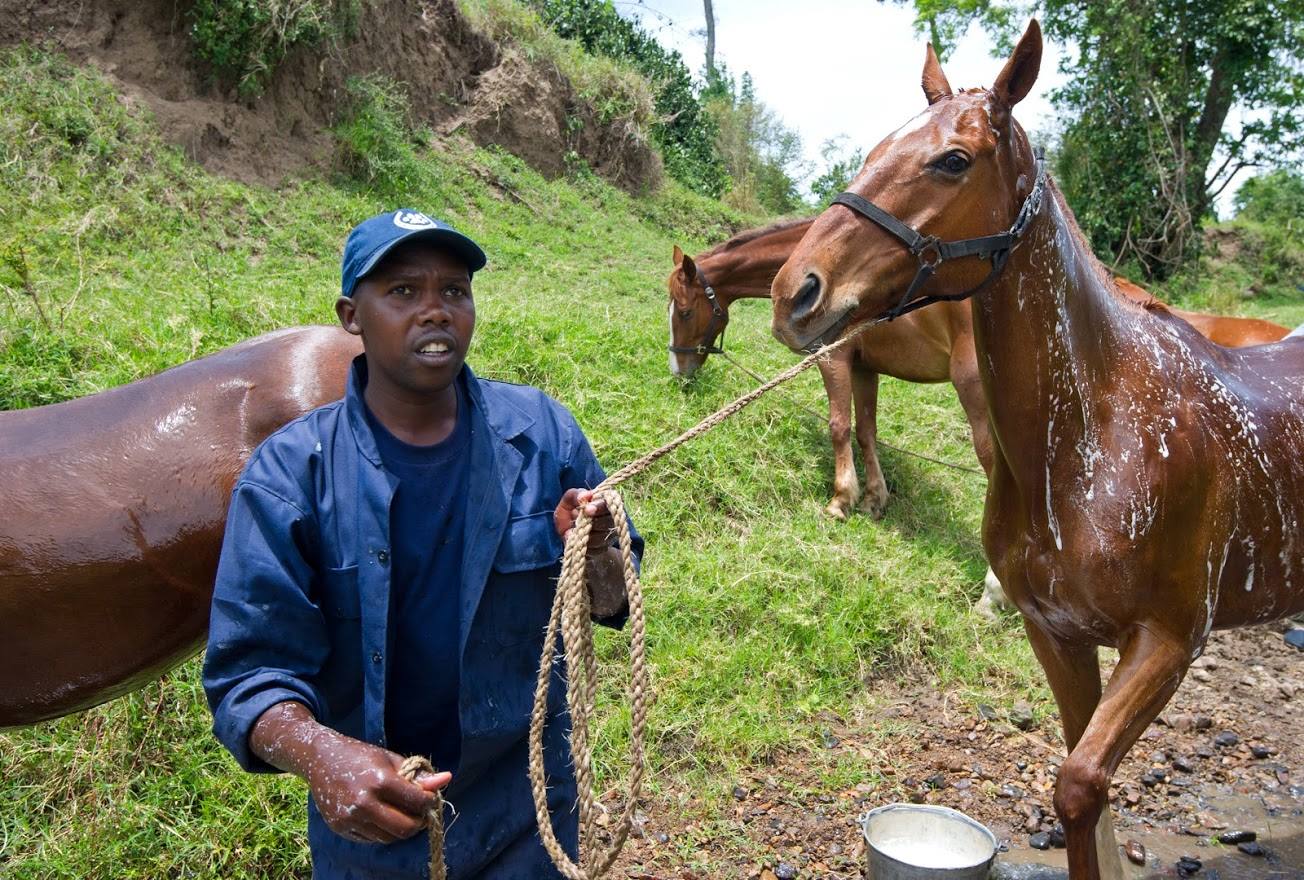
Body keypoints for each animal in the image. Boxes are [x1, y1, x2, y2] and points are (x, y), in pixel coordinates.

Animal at [669, 227, 1287, 616]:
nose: (679, 368)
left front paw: (842, 500)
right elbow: (867, 430)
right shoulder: (867, 367)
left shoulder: (836, 360)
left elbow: (840, 427)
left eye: (683, 307)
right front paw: (875, 498)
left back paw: (999, 592)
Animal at [769, 21, 1304, 879]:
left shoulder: (1169, 642)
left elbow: (1081, 786)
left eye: (953, 160)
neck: (1096, 443)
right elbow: (1089, 795)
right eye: (878, 146)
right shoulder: (1056, 633)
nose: (796, 293)